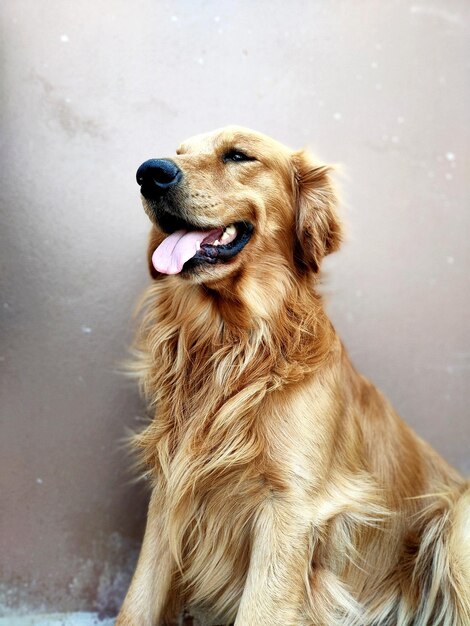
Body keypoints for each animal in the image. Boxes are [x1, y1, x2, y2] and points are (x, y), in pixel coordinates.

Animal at [115, 127, 468, 624]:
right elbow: (136, 604)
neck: (233, 345)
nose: (149, 172)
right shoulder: (171, 486)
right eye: (178, 152)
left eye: (238, 155)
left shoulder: (290, 509)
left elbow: (259, 610)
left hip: (457, 528)